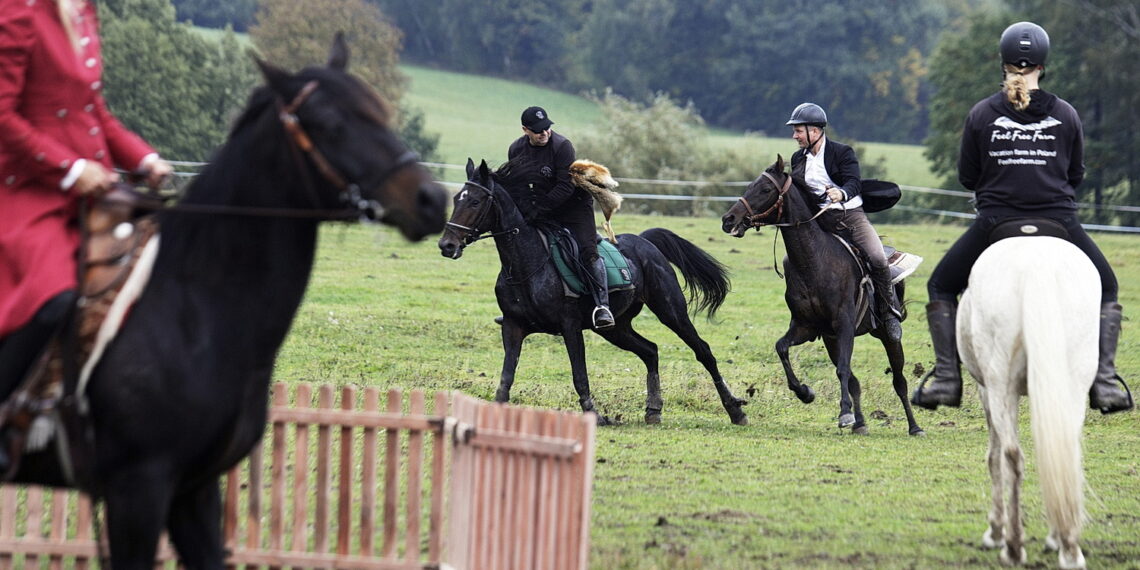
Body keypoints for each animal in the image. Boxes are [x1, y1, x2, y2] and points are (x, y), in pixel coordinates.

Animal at [8, 36, 446, 570]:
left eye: (380, 112)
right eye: (329, 123)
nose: (432, 200)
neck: (193, 308)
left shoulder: (193, 491)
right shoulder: (137, 490)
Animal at [435, 158, 747, 426]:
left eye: (475, 201)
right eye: (456, 198)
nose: (447, 245)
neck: (526, 265)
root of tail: (644, 241)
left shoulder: (570, 327)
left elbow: (579, 374)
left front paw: (594, 415)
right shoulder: (513, 326)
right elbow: (506, 377)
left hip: (670, 310)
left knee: (703, 351)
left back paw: (735, 410)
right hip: (616, 327)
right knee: (650, 351)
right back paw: (653, 409)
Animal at [720, 153, 925, 433]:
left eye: (764, 190)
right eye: (749, 186)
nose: (728, 219)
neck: (814, 261)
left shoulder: (845, 325)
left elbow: (843, 370)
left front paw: (844, 414)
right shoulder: (807, 327)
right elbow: (782, 348)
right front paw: (805, 393)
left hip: (886, 336)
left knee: (899, 381)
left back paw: (914, 427)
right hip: (831, 339)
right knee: (856, 381)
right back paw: (861, 424)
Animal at [957, 233, 1098, 567]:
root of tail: (1038, 267)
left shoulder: (986, 390)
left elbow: (994, 457)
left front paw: (995, 530)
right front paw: (1055, 536)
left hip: (1000, 387)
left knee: (1011, 456)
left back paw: (1012, 546)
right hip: (1071, 383)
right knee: (1063, 450)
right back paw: (1069, 548)